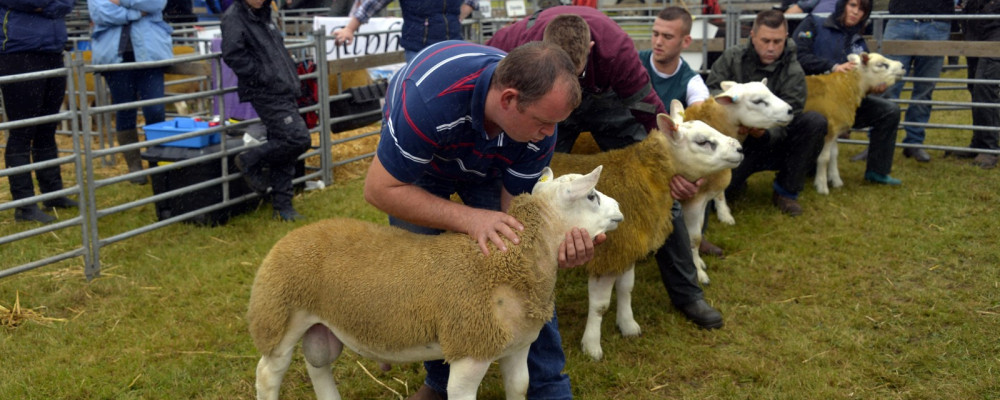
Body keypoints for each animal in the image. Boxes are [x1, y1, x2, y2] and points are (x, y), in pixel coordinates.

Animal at [246, 166, 620, 400]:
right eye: (592, 197)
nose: (620, 208)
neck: (508, 261)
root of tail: (290, 237)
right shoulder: (470, 350)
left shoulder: (516, 347)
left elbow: (520, 388)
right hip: (278, 315)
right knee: (267, 374)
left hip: (319, 326)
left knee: (318, 365)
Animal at [548, 99, 744, 360]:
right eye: (703, 141)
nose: (740, 149)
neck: (642, 177)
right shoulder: (608, 253)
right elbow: (600, 306)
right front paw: (591, 346)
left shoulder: (629, 246)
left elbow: (626, 288)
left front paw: (628, 325)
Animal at [804, 52, 908, 195]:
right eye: (881, 65)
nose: (903, 66)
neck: (844, 87)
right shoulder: (829, 130)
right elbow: (824, 158)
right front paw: (822, 186)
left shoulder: (837, 129)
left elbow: (834, 155)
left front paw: (836, 181)